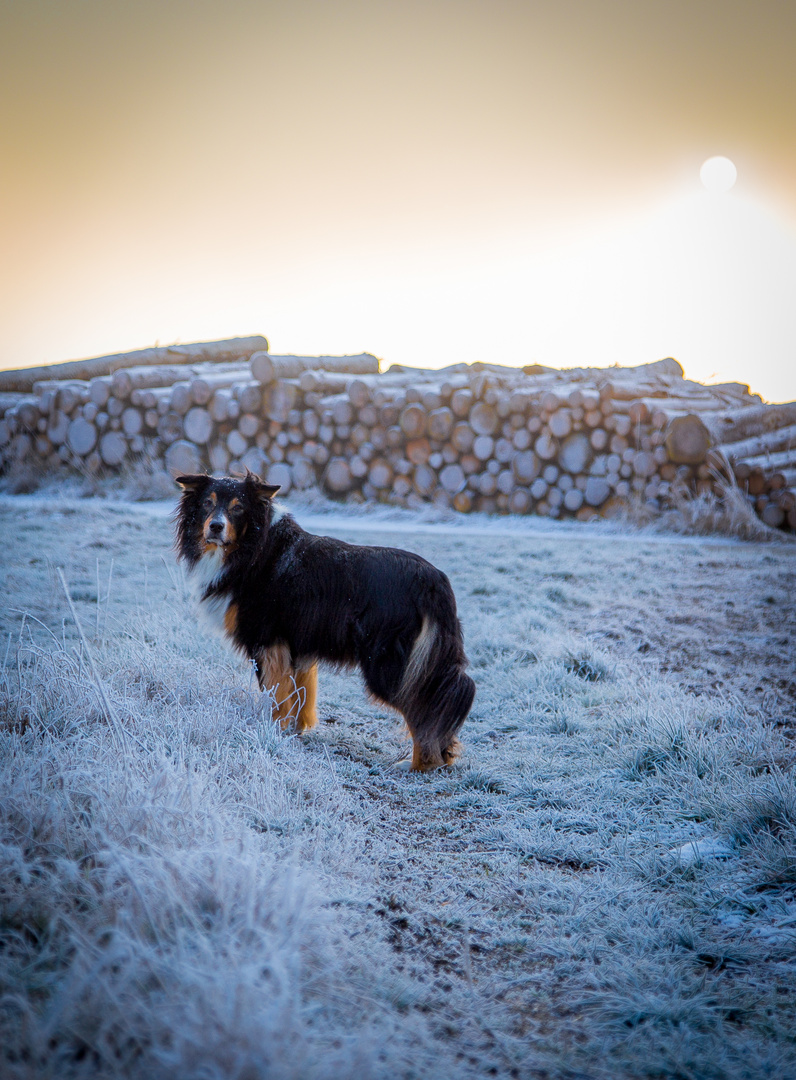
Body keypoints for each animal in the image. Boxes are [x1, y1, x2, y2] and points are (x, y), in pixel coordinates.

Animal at [173, 470, 470, 768]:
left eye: (238, 508)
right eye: (207, 504)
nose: (215, 527)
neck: (255, 548)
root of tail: (433, 581)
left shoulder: (267, 641)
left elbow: (275, 693)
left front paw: (273, 730)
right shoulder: (297, 646)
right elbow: (300, 692)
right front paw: (296, 730)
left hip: (391, 666)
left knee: (423, 711)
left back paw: (421, 765)